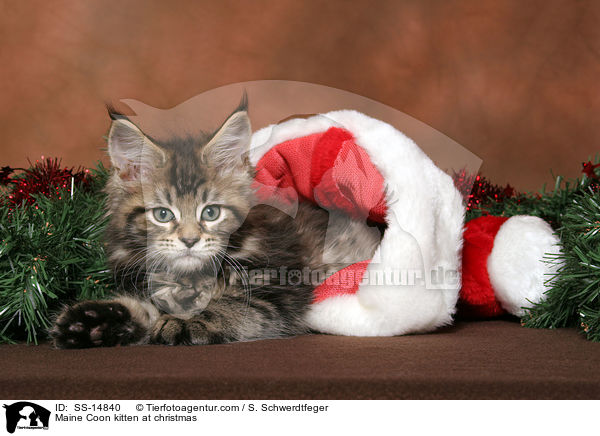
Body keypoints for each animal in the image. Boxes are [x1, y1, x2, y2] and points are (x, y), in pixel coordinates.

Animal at [50, 99, 380, 348]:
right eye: (163, 214)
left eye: (210, 213)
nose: (190, 240)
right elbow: (150, 308)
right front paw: (90, 322)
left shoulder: (277, 289)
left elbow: (231, 304)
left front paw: (187, 320)